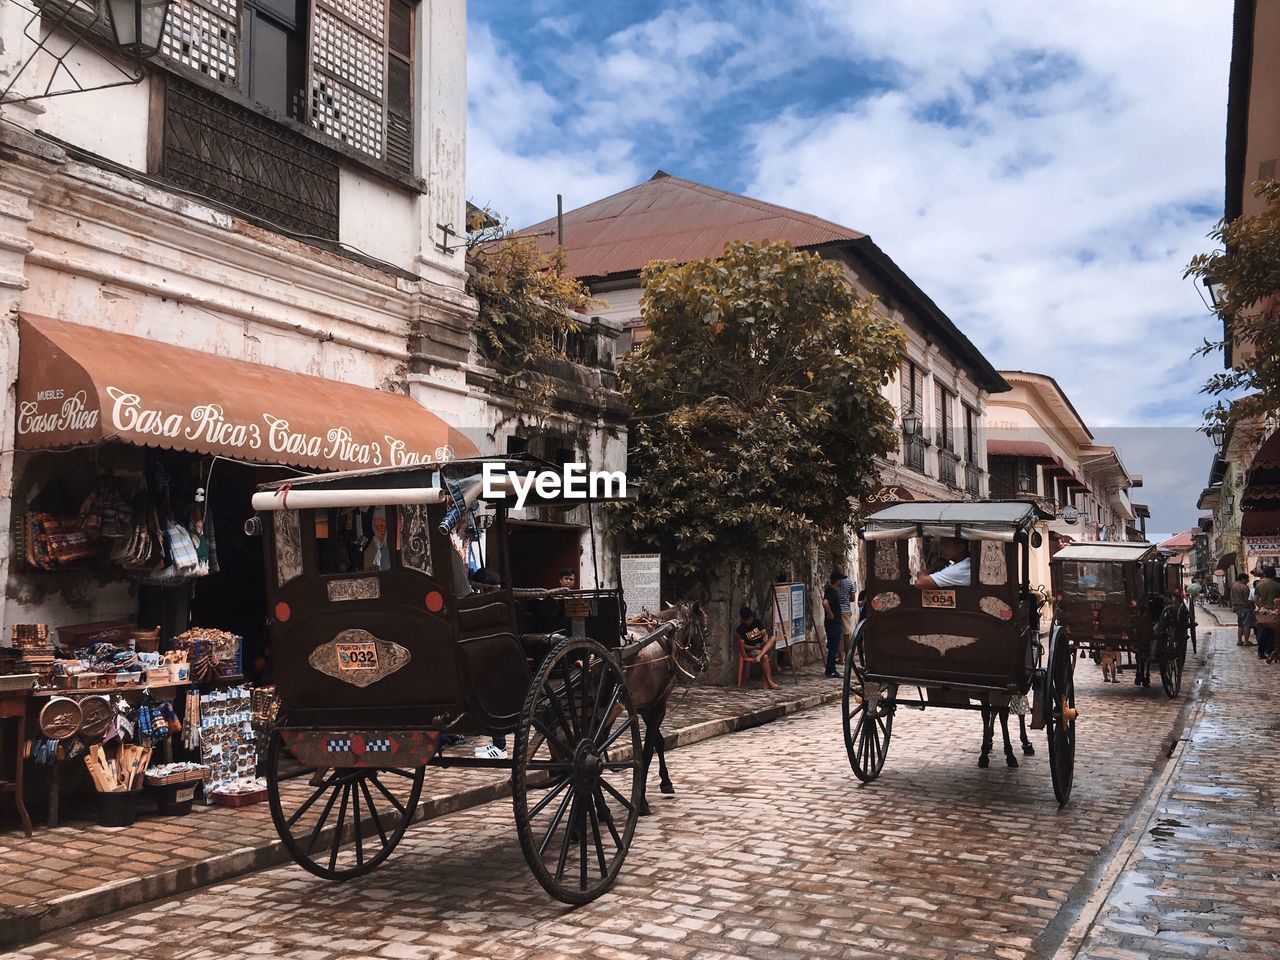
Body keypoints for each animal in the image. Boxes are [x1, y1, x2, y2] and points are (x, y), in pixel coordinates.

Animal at [616, 604, 711, 814]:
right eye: (705, 630)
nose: (705, 663)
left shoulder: (645, 707)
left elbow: (659, 742)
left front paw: (666, 782)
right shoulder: (658, 706)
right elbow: (647, 752)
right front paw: (642, 802)